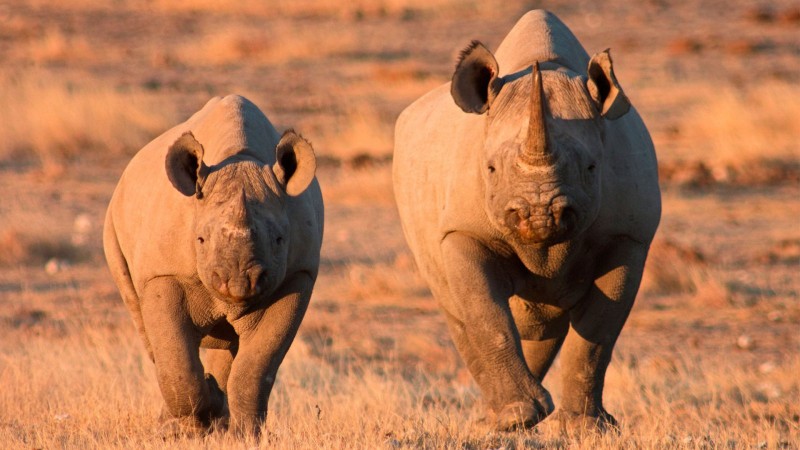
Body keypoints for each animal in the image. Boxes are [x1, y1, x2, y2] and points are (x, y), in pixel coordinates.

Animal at [103, 95, 322, 436]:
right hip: (114, 223)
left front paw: (245, 435)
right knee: (146, 327)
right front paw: (195, 424)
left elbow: (256, 367)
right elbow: (177, 362)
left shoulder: (297, 276)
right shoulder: (164, 273)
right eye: (201, 239)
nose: (239, 283)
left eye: (279, 240)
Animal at [394, 10, 664, 430]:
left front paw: (585, 427)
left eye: (591, 168)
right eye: (489, 169)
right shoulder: (462, 230)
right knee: (458, 310)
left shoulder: (628, 237)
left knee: (542, 320)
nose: (539, 215)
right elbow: (486, 315)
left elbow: (598, 333)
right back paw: (498, 419)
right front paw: (517, 419)